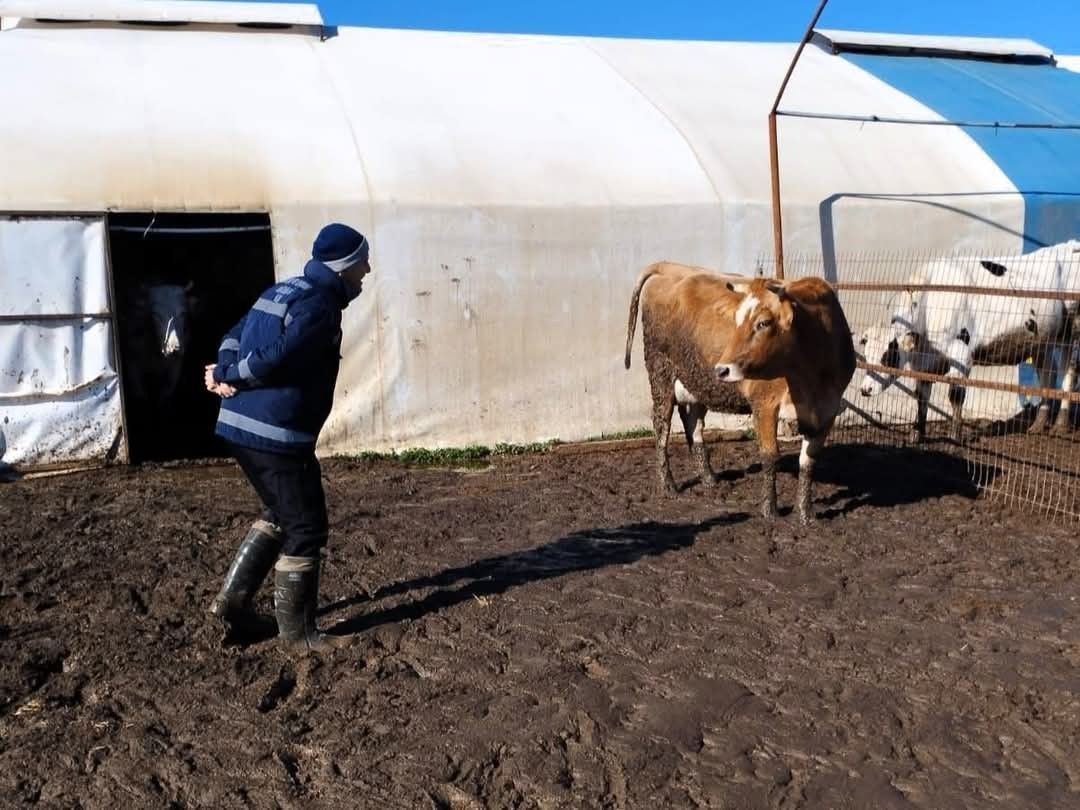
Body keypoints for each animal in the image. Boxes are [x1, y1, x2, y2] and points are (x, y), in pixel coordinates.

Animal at [626, 263, 851, 522]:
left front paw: (805, 514)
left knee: (693, 425)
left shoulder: (828, 410)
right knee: (662, 428)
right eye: (737, 319)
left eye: (764, 322)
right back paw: (668, 485)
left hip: (696, 382)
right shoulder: (764, 403)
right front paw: (770, 511)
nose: (722, 369)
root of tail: (671, 267)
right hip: (661, 371)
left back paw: (709, 479)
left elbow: (808, 461)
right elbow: (769, 455)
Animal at [859, 243, 1080, 444]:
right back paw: (1038, 424)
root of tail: (1070, 244)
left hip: (1071, 332)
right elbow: (921, 397)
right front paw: (916, 434)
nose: (864, 389)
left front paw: (955, 436)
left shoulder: (962, 355)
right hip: (1043, 340)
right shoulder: (925, 364)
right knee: (1048, 373)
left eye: (888, 355)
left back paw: (1061, 424)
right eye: (867, 354)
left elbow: (956, 395)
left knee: (1068, 371)